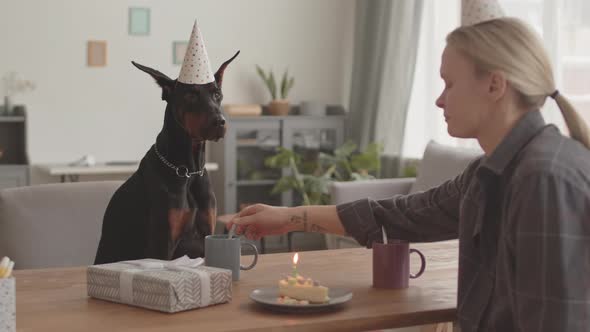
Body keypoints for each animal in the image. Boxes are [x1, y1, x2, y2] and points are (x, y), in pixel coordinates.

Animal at [93, 50, 239, 264]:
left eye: (217, 94)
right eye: (191, 94)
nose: (219, 122)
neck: (188, 171)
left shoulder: (206, 235)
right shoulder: (162, 243)